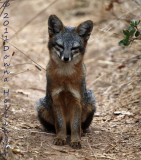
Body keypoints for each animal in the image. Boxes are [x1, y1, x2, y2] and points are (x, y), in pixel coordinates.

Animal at [35, 15, 96, 149]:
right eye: (60, 46)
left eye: (74, 48)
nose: (66, 58)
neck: (65, 77)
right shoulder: (56, 99)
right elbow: (60, 124)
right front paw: (60, 138)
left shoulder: (77, 100)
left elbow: (75, 125)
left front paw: (75, 140)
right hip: (41, 105)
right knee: (57, 126)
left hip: (90, 99)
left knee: (78, 127)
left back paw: (82, 132)